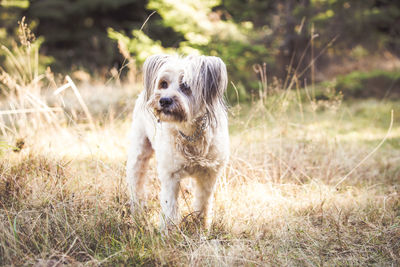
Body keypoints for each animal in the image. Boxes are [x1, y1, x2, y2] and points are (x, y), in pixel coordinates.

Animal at [126, 54, 230, 230]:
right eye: (163, 84)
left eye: (186, 86)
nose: (164, 100)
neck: (190, 133)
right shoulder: (171, 175)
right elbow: (170, 206)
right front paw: (168, 231)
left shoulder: (209, 175)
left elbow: (203, 203)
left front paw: (201, 226)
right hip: (138, 153)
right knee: (136, 183)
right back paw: (137, 211)